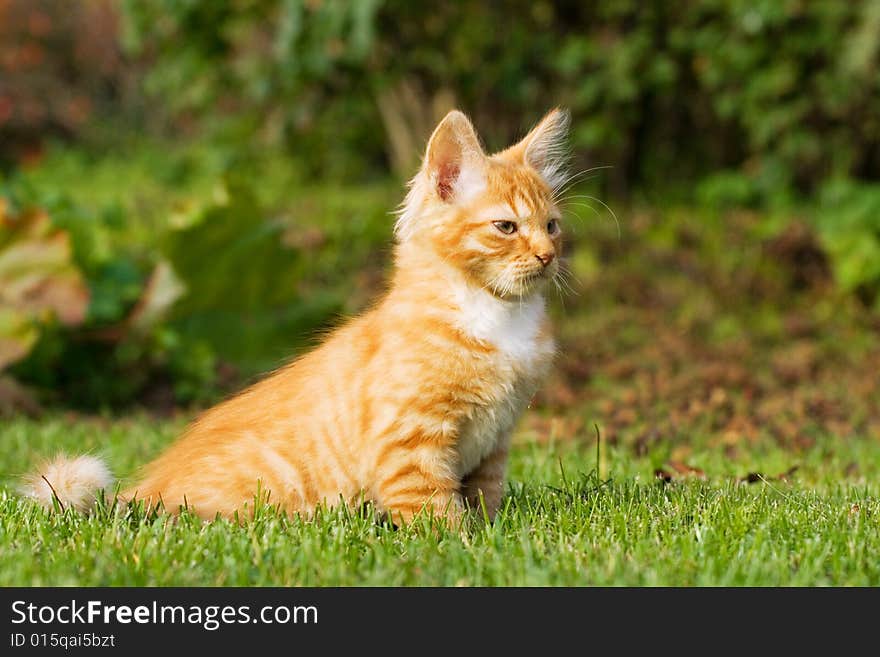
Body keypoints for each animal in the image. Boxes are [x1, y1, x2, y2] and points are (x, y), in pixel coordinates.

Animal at [22, 109, 572, 528]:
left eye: (551, 227)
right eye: (506, 227)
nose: (548, 256)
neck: (497, 315)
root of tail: (139, 494)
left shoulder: (494, 444)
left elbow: (484, 500)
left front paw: (492, 536)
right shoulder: (411, 442)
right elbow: (435, 512)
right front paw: (457, 546)